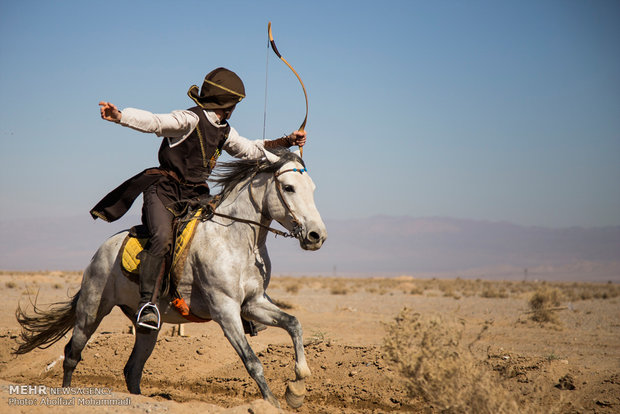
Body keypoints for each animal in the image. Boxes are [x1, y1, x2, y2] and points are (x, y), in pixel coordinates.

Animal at [13, 148, 324, 408]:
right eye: (289, 187)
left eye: (312, 189)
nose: (316, 236)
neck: (236, 240)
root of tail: (99, 253)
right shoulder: (225, 310)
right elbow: (253, 361)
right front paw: (272, 402)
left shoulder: (253, 303)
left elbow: (294, 324)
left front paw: (297, 388)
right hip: (91, 312)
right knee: (72, 354)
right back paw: (67, 395)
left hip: (147, 327)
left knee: (132, 369)